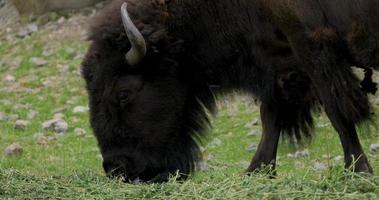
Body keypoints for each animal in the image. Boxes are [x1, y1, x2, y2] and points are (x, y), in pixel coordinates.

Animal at [82, 0, 378, 183]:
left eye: (122, 94)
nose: (117, 168)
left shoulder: (312, 48)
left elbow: (338, 113)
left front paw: (358, 172)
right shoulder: (275, 66)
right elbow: (271, 118)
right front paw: (255, 172)